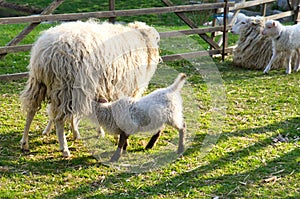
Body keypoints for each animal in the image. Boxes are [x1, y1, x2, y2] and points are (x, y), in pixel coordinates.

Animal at [19, 20, 161, 157]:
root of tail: (47, 52)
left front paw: (98, 132)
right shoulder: (126, 89)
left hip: (39, 83)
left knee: (31, 110)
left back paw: (25, 142)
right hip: (68, 87)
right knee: (59, 119)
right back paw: (64, 149)